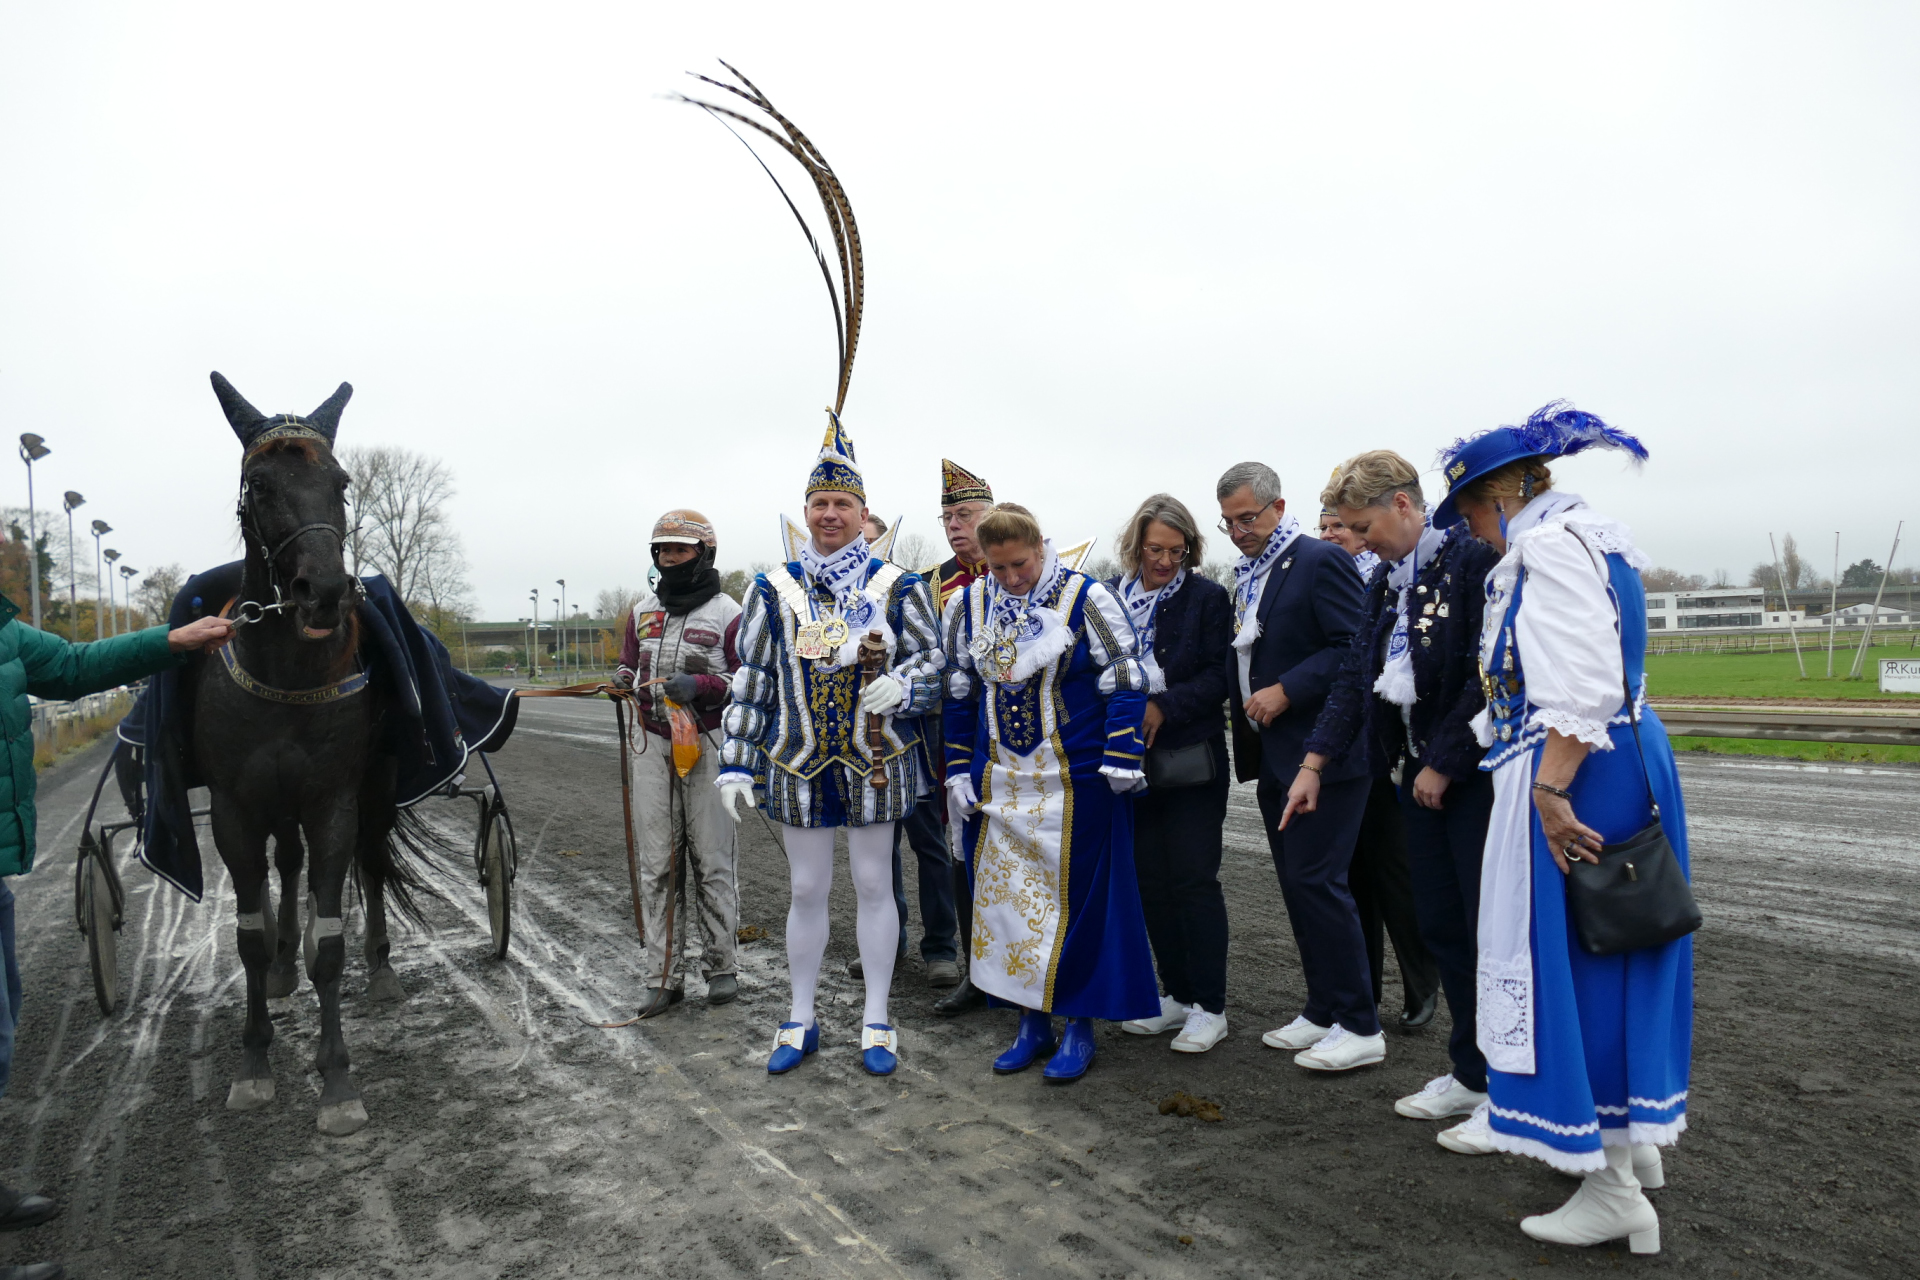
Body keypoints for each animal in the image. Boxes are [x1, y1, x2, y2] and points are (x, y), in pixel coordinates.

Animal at [192, 371, 432, 1136]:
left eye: (342, 482)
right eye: (260, 483)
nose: (324, 591)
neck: (289, 675)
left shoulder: (332, 798)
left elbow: (331, 940)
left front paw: (336, 1080)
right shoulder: (236, 808)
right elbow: (247, 933)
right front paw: (254, 1063)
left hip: (376, 787)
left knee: (373, 861)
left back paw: (380, 969)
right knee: (288, 868)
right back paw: (280, 965)